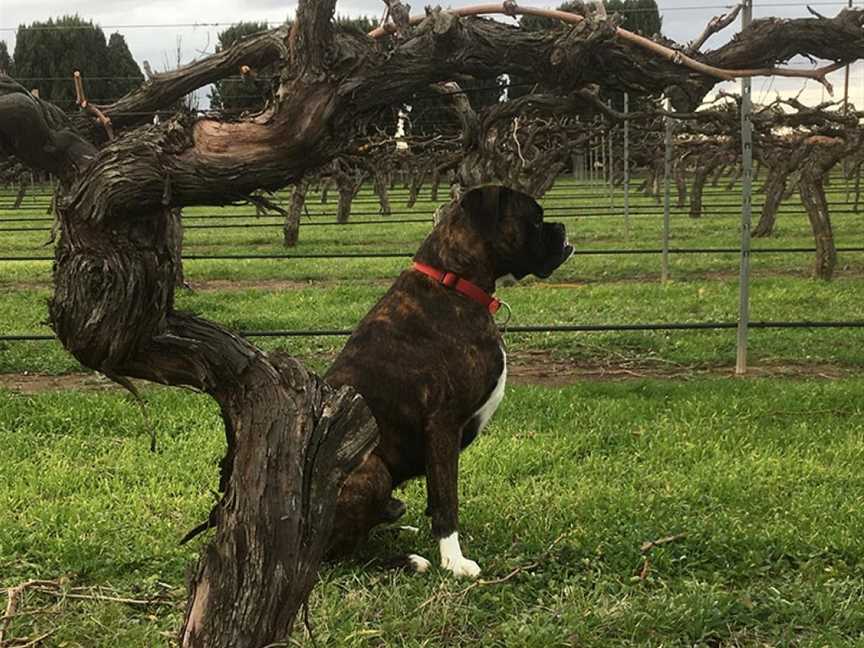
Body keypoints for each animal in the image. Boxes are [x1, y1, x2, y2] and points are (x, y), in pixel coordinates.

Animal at [324, 184, 572, 576]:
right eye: (535, 218)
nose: (561, 228)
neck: (454, 283)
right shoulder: (443, 424)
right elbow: (446, 499)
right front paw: (453, 560)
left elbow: (436, 497)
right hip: (373, 469)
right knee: (338, 558)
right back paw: (408, 560)